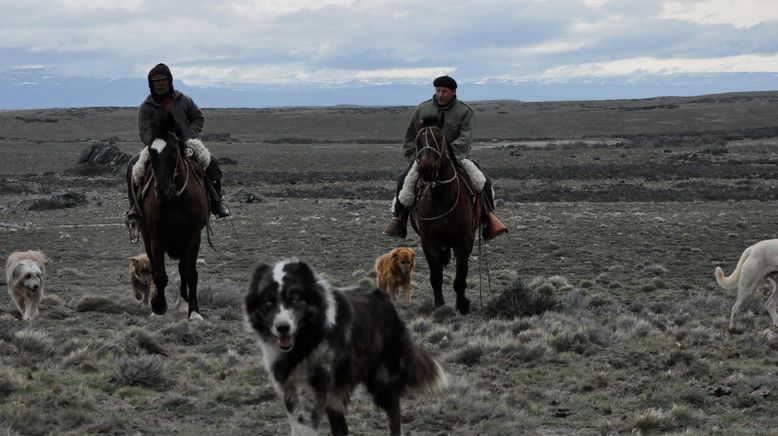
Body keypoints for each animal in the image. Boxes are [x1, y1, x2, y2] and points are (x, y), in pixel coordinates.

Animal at [137, 114, 208, 320]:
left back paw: (183, 303)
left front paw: (194, 311)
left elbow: (190, 273)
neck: (176, 200)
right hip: (147, 237)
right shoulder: (156, 238)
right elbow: (159, 275)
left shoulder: (193, 237)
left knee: (183, 270)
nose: (162, 190)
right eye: (151, 152)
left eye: (174, 150)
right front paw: (158, 305)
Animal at [246, 258, 446, 436]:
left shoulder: (313, 391)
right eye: (269, 302)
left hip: (382, 379)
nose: (283, 327)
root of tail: (383, 298)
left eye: (295, 300)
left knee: (394, 414)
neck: (308, 340)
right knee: (341, 427)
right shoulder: (294, 391)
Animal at [410, 121, 476, 316]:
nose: (426, 169)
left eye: (439, 139)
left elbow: (460, 278)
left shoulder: (464, 243)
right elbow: (436, 276)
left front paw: (462, 305)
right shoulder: (429, 242)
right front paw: (439, 304)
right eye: (418, 140)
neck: (442, 199)